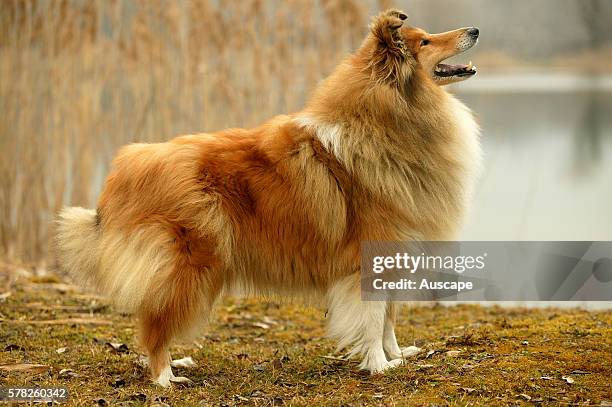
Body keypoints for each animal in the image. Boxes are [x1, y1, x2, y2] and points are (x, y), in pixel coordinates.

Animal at [57, 8, 480, 386]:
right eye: (425, 42)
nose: (474, 29)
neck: (384, 122)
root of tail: (125, 167)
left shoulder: (396, 251)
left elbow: (389, 316)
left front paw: (397, 355)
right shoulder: (370, 253)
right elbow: (373, 318)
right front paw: (379, 366)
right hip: (190, 266)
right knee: (153, 325)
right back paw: (166, 378)